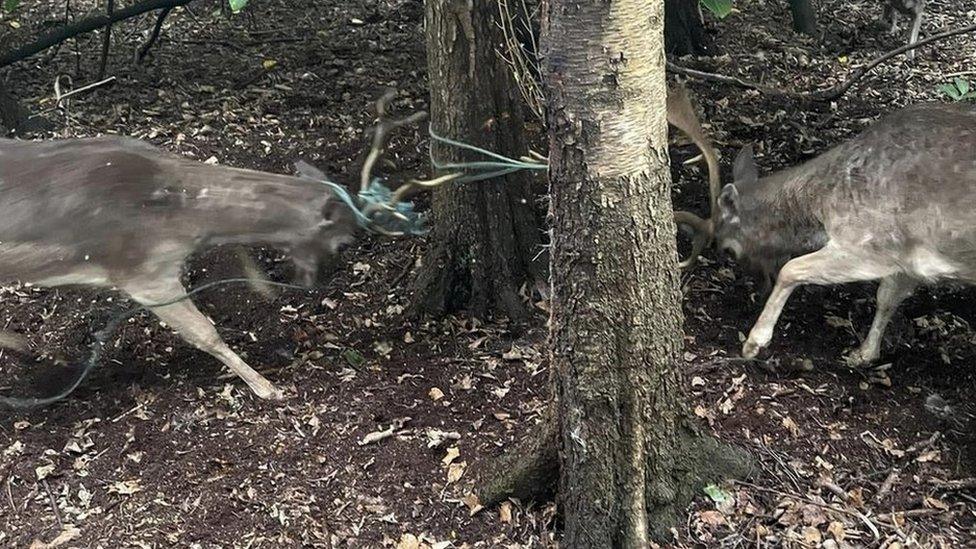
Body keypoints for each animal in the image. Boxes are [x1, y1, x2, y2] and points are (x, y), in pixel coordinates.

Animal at [0, 91, 428, 398]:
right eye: (342, 241)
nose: (315, 283)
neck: (183, 219)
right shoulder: (144, 270)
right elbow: (205, 332)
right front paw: (268, 388)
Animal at [668, 84, 976, 368]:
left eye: (728, 250)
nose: (758, 288)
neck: (825, 203)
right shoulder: (910, 259)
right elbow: (887, 296)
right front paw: (863, 354)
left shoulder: (872, 241)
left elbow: (792, 268)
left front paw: (755, 341)